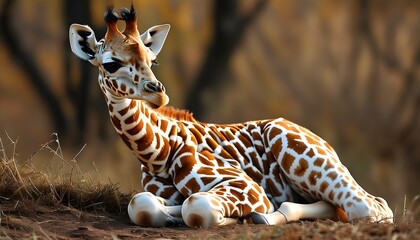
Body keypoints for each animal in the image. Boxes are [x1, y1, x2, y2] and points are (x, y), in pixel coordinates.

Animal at [69, 4, 394, 228]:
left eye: (152, 60)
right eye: (110, 63)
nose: (158, 93)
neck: (158, 151)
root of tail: (326, 143)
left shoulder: (247, 186)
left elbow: (195, 207)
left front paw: (235, 217)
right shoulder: (153, 194)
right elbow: (143, 205)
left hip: (305, 159)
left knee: (369, 207)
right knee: (351, 206)